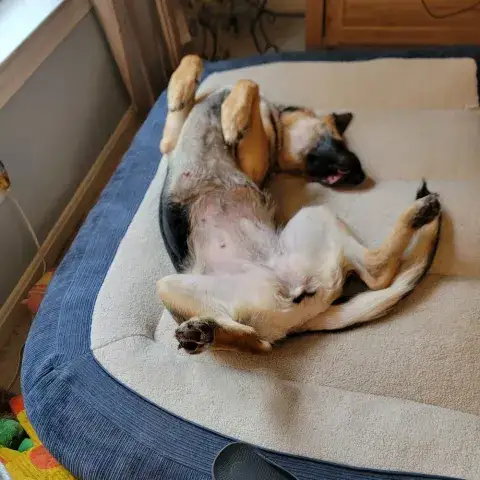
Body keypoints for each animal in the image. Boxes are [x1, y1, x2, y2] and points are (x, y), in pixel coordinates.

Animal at [156, 55, 441, 355]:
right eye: (336, 138)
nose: (359, 174)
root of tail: (298, 316)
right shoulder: (170, 140)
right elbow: (192, 66)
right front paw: (182, 90)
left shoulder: (249, 159)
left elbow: (248, 81)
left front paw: (231, 116)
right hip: (172, 285)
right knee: (256, 340)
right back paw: (203, 332)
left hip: (311, 217)